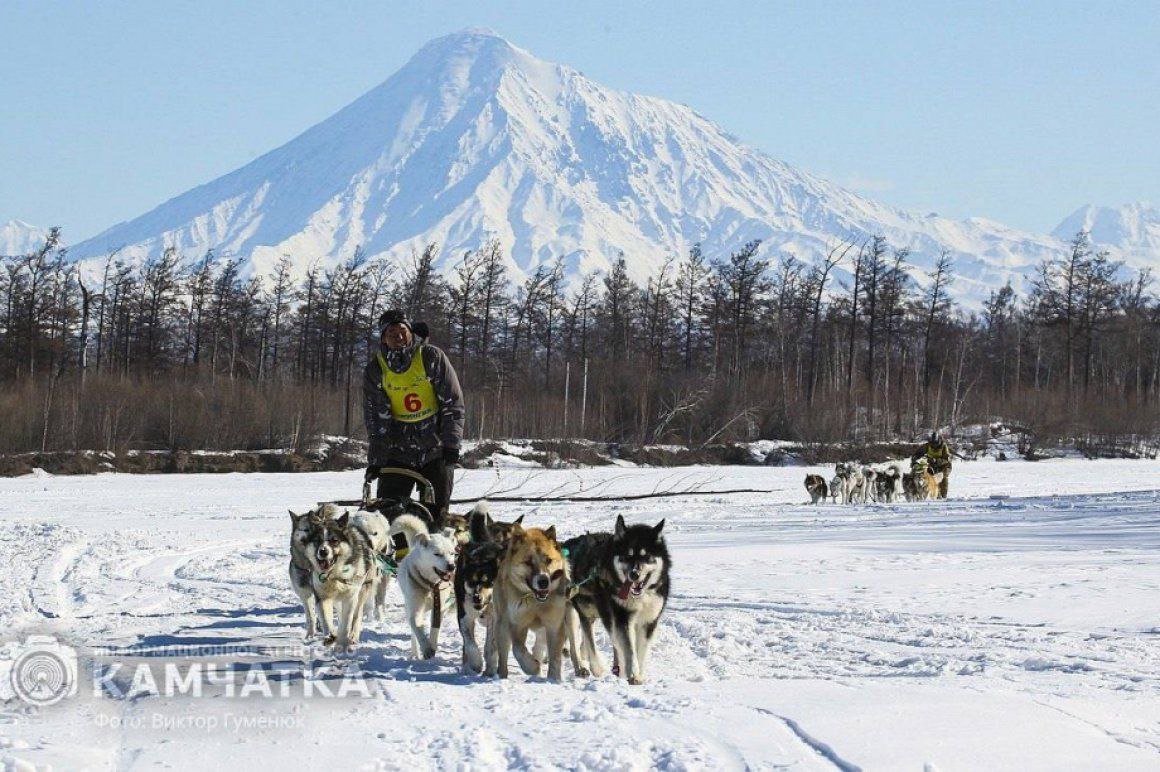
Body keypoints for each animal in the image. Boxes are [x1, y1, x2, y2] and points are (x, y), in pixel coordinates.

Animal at [480, 523, 570, 681]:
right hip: (502, 624)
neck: (536, 602)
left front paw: (553, 679)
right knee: (503, 656)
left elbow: (555, 657)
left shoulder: (554, 624)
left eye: (548, 560)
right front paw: (533, 667)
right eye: (528, 562)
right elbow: (518, 649)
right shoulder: (518, 624)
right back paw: (502, 676)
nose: (543, 581)